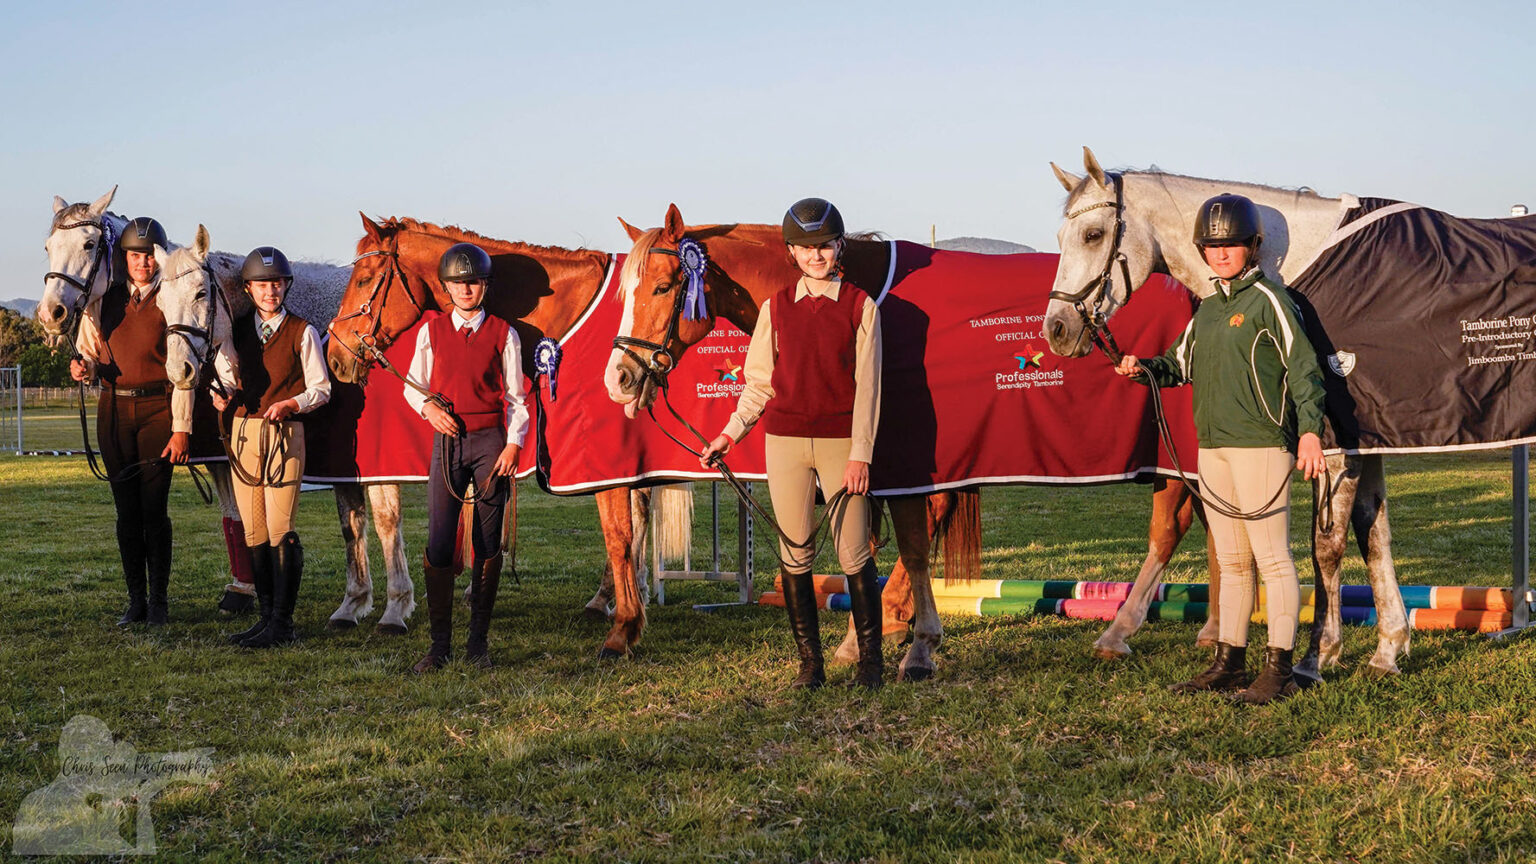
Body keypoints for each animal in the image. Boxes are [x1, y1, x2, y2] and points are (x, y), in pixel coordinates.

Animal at [1044, 146, 1413, 679]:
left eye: (1093, 235)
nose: (1055, 329)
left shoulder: (1336, 447)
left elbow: (1329, 545)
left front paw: (1318, 655)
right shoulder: (1369, 437)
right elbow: (1374, 531)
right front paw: (1388, 649)